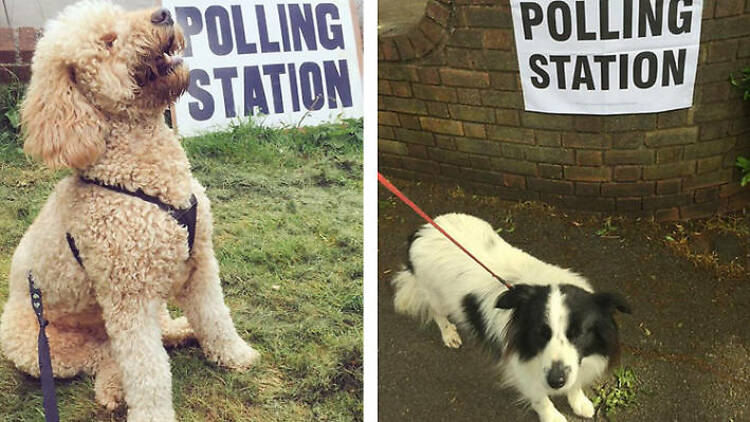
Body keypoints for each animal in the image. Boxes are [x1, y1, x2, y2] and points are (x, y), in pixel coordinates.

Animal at [0, 1, 262, 420]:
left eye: (121, 15)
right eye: (108, 43)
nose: (163, 14)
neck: (146, 174)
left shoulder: (199, 262)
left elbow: (215, 316)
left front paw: (235, 355)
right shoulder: (128, 298)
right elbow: (146, 369)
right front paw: (152, 413)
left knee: (154, 333)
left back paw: (182, 330)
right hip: (43, 349)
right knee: (104, 356)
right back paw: (113, 387)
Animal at [394, 214, 636, 422]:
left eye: (578, 334)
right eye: (540, 333)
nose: (555, 381)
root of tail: (421, 230)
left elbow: (574, 383)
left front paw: (579, 402)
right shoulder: (520, 366)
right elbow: (539, 397)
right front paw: (552, 416)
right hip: (436, 294)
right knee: (436, 312)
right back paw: (449, 334)